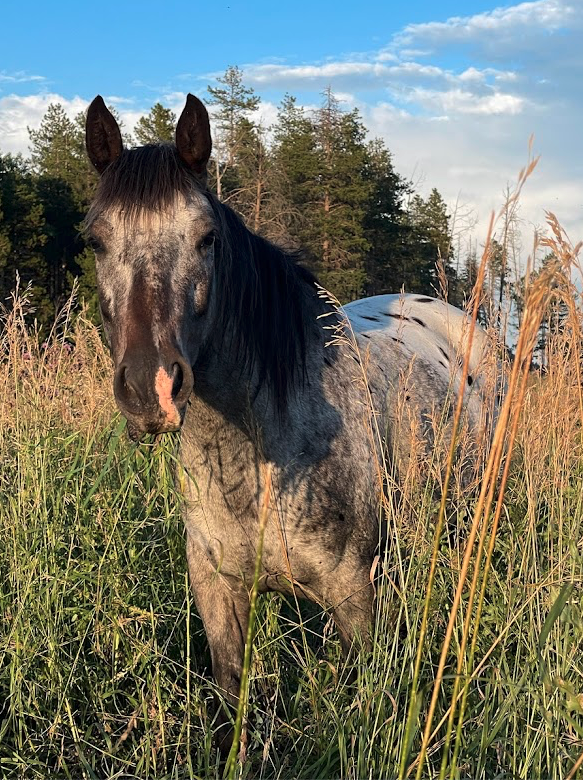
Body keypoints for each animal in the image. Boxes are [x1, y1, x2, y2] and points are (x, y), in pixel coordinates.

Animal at [84, 93, 495, 747]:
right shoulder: (218, 591)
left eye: (205, 238)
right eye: (96, 239)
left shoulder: (355, 598)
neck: (258, 455)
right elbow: (233, 696)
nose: (151, 390)